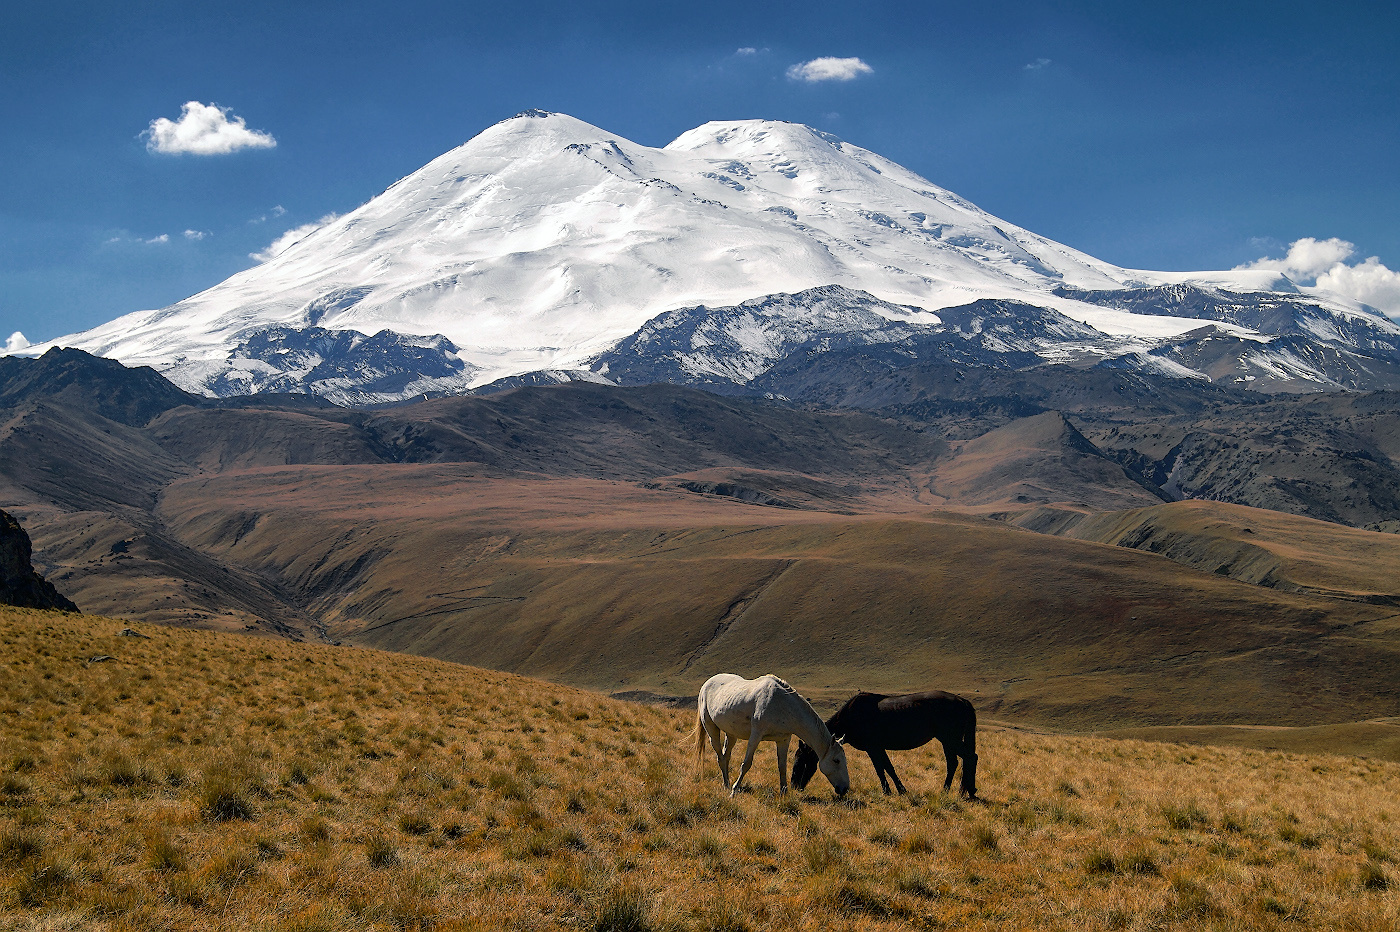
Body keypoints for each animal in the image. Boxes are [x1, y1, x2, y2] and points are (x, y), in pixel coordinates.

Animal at [691, 671, 845, 794]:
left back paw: (727, 783)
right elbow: (746, 764)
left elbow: (782, 767)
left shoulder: (783, 740)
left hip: (731, 734)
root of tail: (707, 684)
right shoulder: (756, 735)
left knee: (725, 756)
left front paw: (784, 793)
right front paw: (734, 791)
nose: (844, 789)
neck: (782, 705)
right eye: (836, 760)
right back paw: (728, 786)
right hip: (711, 729)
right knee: (720, 757)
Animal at [795, 685, 980, 794]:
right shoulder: (878, 748)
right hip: (947, 741)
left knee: (970, 757)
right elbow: (887, 768)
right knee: (955, 762)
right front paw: (897, 790)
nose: (795, 786)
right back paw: (952, 790)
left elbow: (882, 769)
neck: (852, 717)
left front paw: (892, 790)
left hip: (950, 739)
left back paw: (965, 791)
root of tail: (963, 701)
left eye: (802, 761)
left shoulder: (873, 748)